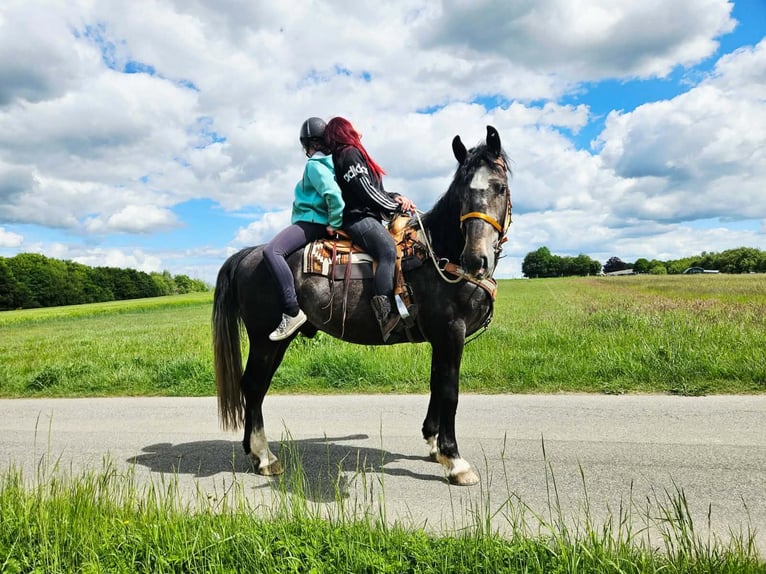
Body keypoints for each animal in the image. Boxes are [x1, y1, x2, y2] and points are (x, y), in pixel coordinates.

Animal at [212, 125, 511, 486]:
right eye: (461, 193)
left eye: (500, 188)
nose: (476, 259)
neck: (439, 253)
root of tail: (253, 253)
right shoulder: (450, 333)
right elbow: (449, 391)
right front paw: (454, 460)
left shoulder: (439, 339)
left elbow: (436, 385)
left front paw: (433, 443)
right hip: (264, 340)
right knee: (254, 386)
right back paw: (265, 456)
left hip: (275, 341)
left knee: (255, 386)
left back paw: (254, 452)